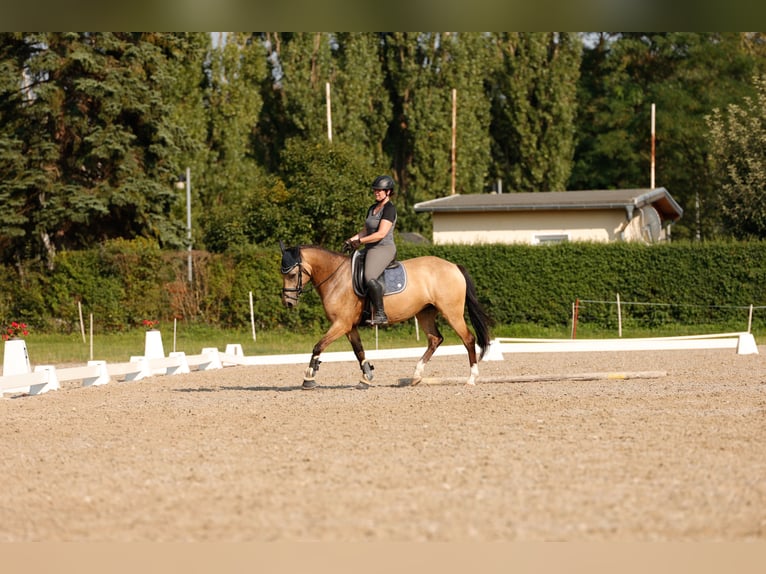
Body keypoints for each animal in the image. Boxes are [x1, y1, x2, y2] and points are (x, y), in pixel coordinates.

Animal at [279, 243, 492, 389]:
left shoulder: (341, 324)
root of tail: (454, 266)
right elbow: (359, 351)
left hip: (451, 312)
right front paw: (366, 378)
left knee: (468, 339)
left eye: (292, 274)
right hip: (424, 313)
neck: (335, 278)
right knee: (435, 339)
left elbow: (318, 346)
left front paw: (308, 377)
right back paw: (416, 376)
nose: (288, 302)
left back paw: (471, 379)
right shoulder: (349, 327)